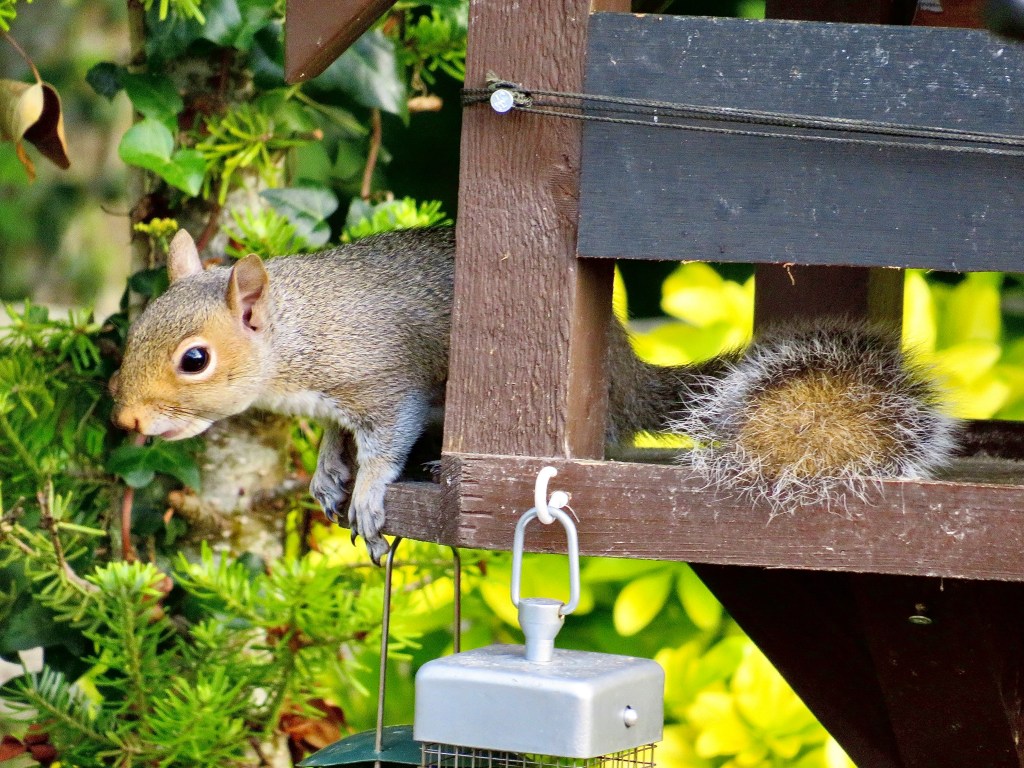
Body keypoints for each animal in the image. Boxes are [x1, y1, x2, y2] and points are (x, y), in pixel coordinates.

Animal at [110, 227, 960, 561]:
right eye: (138, 325)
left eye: (194, 360)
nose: (125, 417)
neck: (301, 333)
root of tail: (625, 373)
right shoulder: (337, 401)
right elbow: (336, 437)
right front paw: (326, 472)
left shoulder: (385, 381)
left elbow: (384, 441)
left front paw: (371, 494)